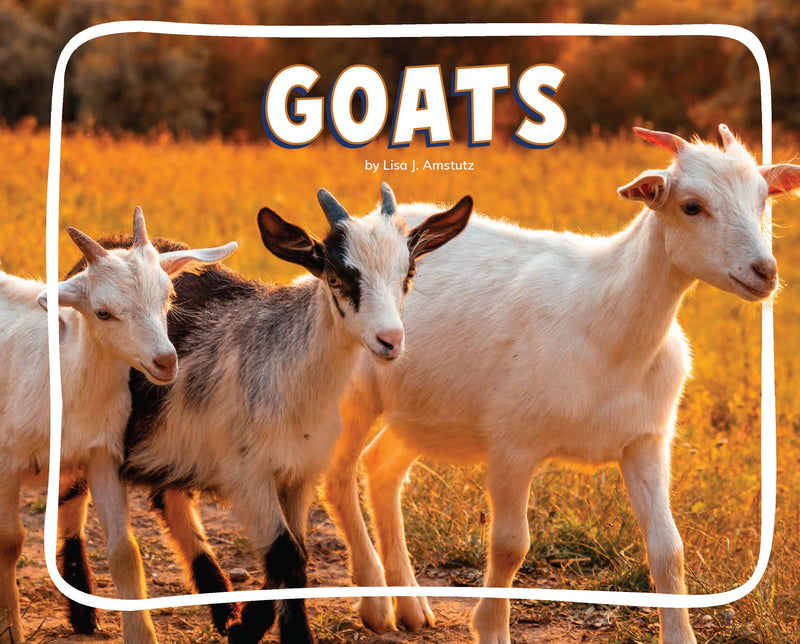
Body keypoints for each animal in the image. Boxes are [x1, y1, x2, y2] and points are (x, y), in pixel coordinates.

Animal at [0, 208, 236, 644]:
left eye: (168, 297)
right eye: (103, 312)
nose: (166, 361)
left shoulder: (102, 455)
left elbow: (125, 551)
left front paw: (142, 634)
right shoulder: (8, 460)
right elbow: (9, 543)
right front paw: (9, 630)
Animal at [60, 184, 472, 643]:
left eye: (408, 276)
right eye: (337, 277)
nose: (390, 340)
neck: (289, 371)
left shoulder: (297, 473)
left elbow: (296, 551)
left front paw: (246, 627)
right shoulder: (249, 474)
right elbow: (285, 555)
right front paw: (290, 635)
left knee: (170, 497)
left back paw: (221, 606)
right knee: (72, 495)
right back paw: (84, 612)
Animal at [322, 125, 800, 644]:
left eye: (763, 199)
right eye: (691, 206)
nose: (765, 272)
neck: (607, 329)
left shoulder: (645, 441)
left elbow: (668, 549)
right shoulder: (513, 444)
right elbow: (510, 545)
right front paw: (489, 628)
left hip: (424, 412)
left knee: (381, 468)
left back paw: (411, 606)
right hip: (352, 396)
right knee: (338, 477)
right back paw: (376, 603)